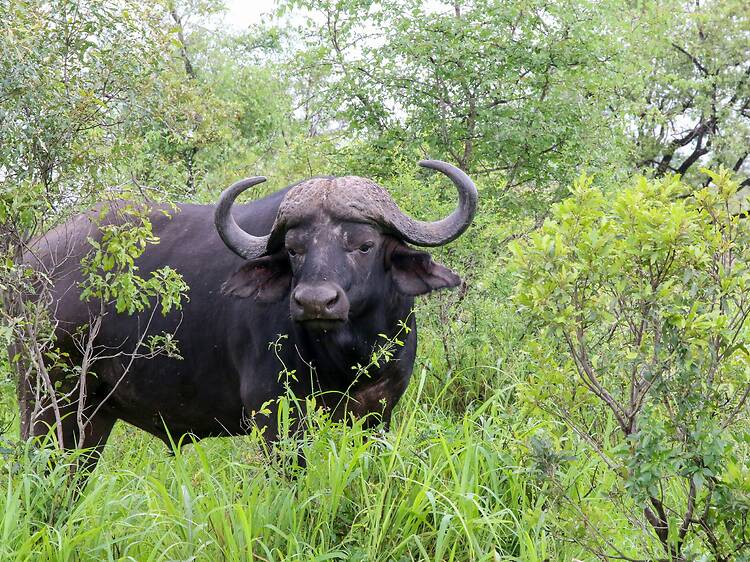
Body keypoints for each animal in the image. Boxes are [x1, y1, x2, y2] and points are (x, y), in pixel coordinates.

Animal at [16, 160, 477, 468]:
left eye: (364, 244)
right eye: (294, 249)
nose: (315, 301)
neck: (347, 355)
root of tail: (29, 265)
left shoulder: (378, 413)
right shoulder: (274, 416)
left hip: (93, 417)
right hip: (46, 401)